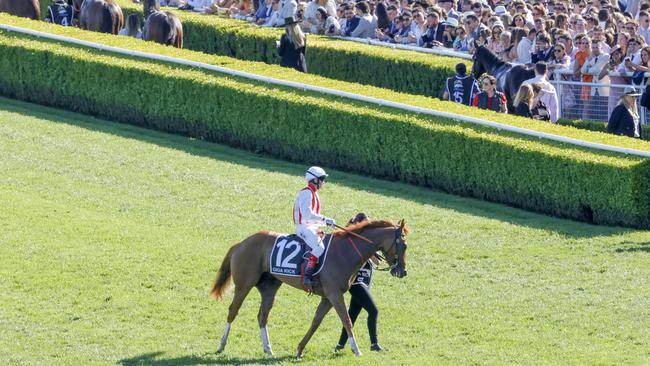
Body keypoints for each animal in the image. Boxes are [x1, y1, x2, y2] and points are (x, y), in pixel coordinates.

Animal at [210, 220, 408, 358]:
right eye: (404, 245)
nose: (402, 271)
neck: (345, 252)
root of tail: (242, 243)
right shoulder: (335, 294)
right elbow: (347, 320)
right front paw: (356, 350)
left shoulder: (328, 297)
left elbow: (316, 322)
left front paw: (299, 350)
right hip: (244, 285)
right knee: (232, 311)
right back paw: (221, 345)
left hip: (269, 288)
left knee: (262, 316)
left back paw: (268, 349)